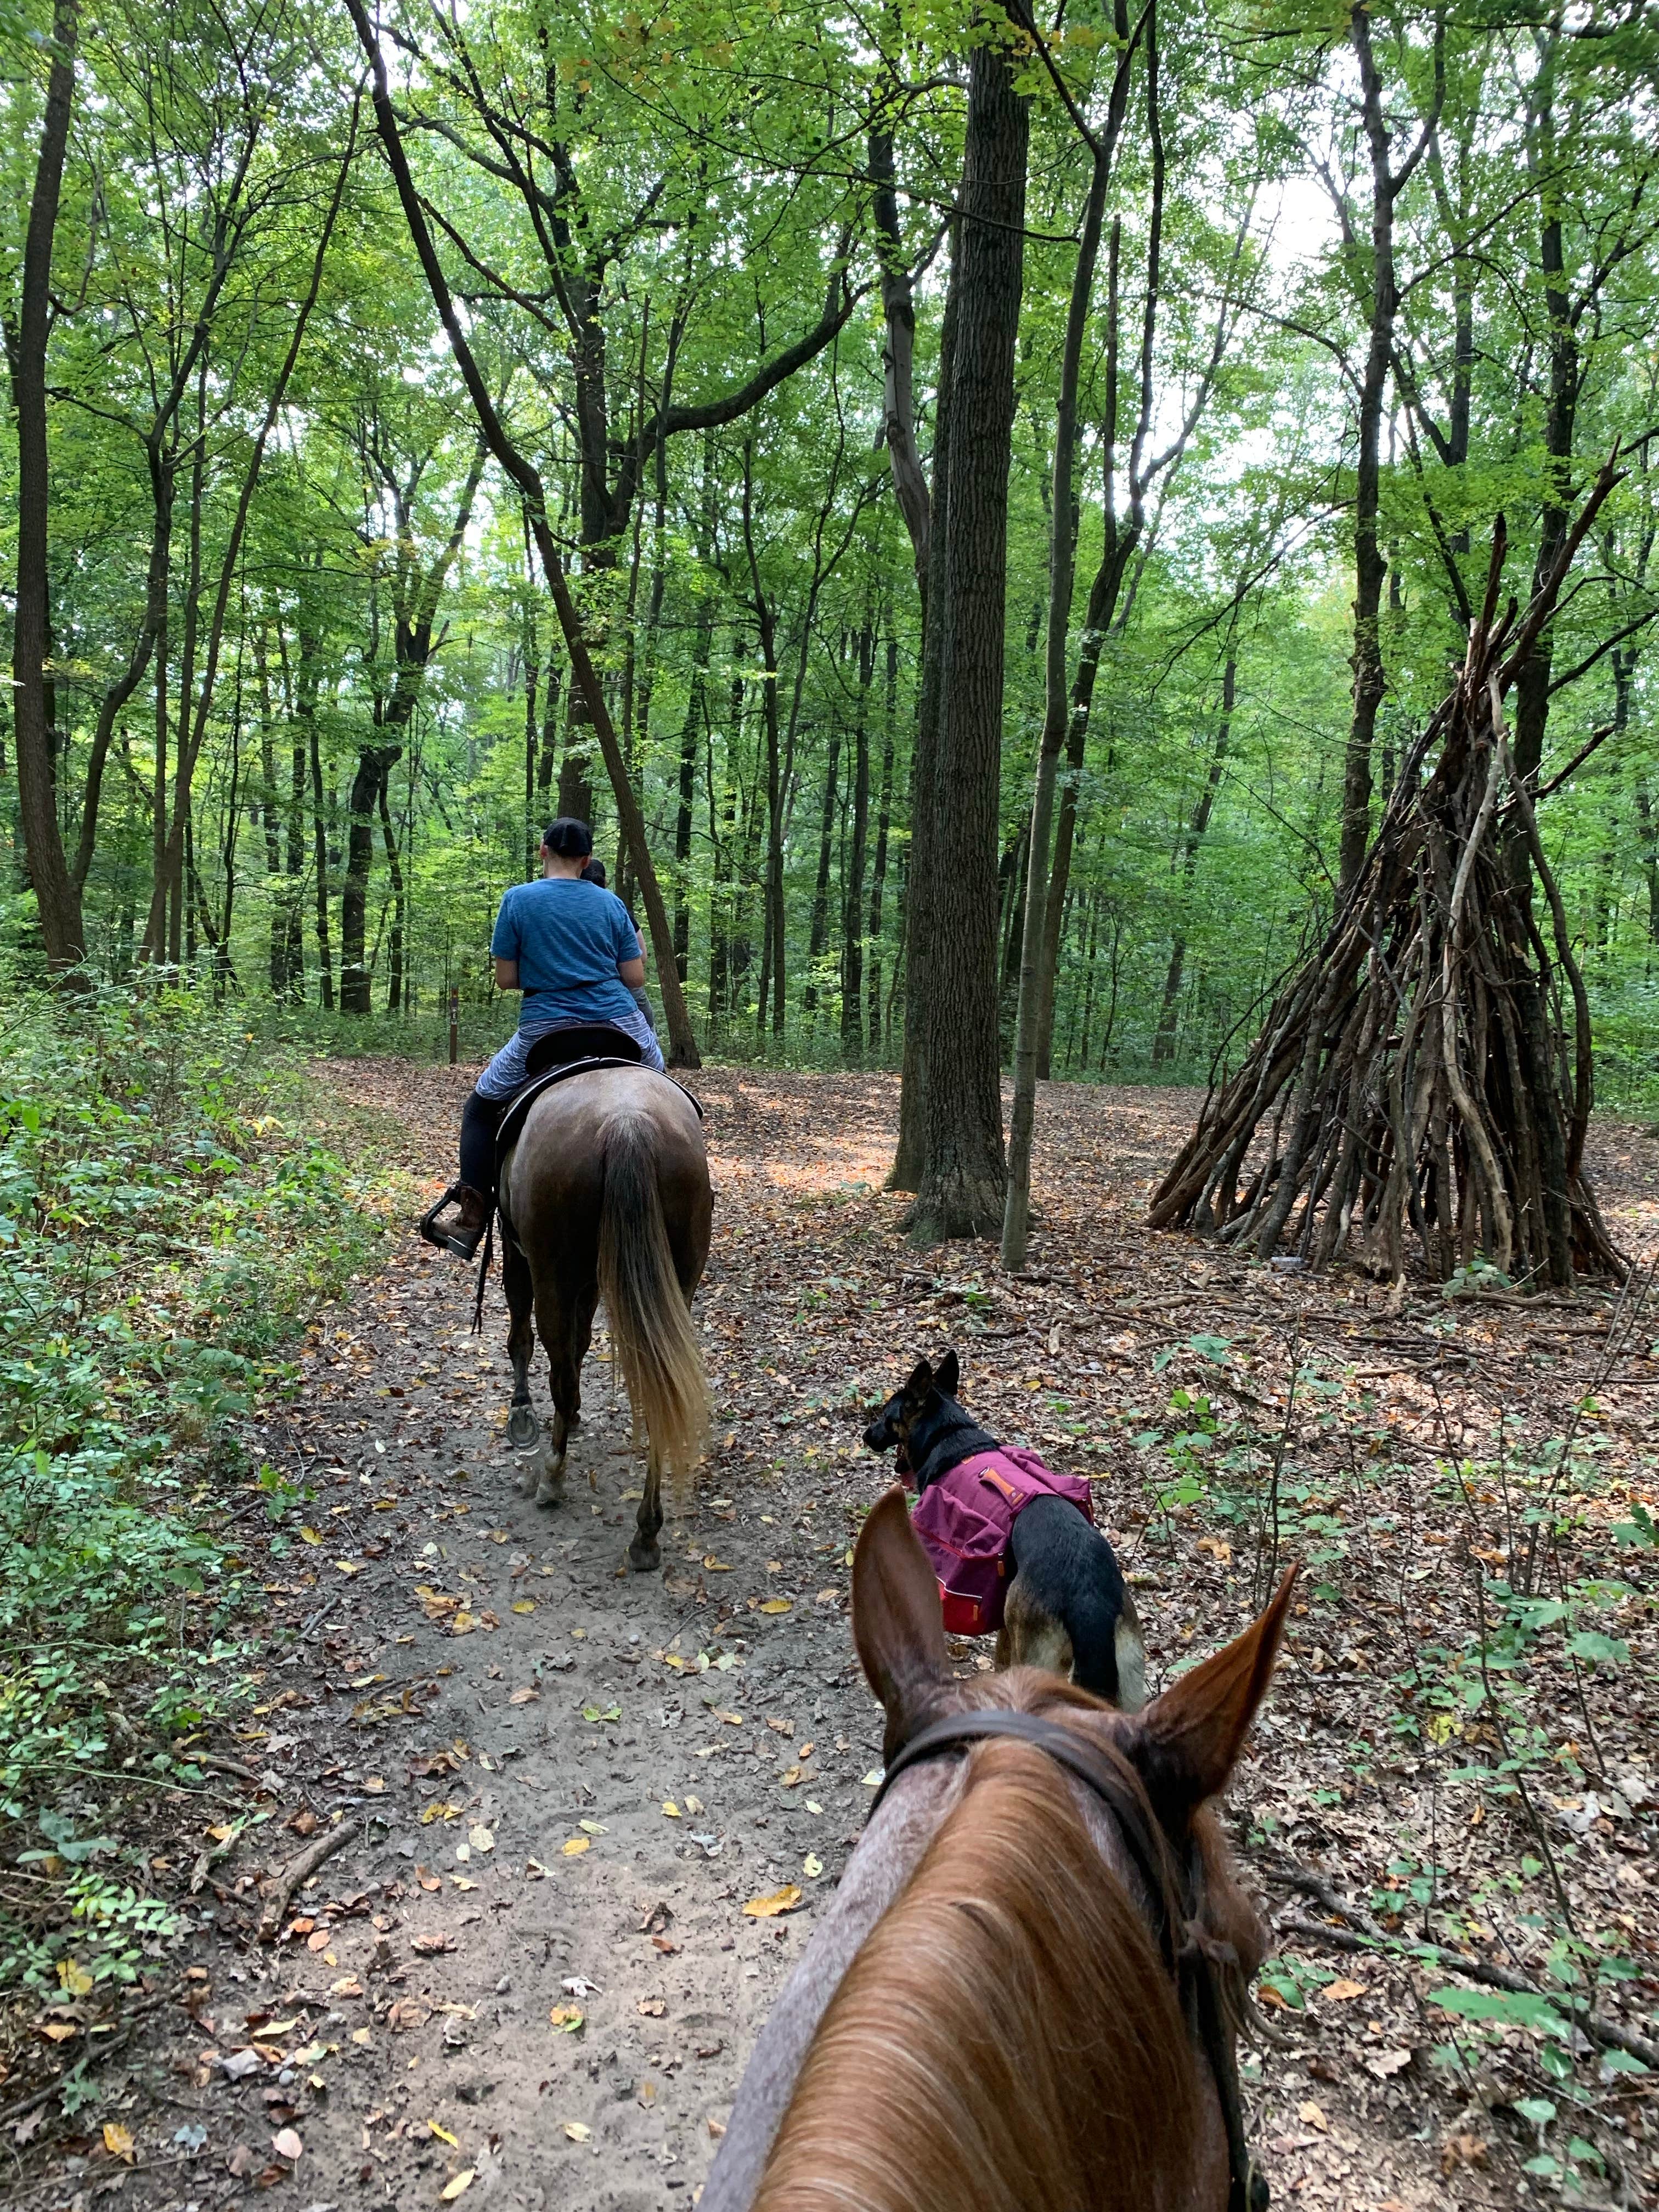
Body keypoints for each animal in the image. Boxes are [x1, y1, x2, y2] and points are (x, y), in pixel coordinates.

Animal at [496, 1064, 711, 1571]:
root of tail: (627, 1123)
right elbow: (580, 1345)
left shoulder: (519, 1257)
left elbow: (524, 1340)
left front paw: (523, 1415)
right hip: (674, 1286)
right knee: (659, 1389)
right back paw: (647, 1533)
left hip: (551, 1272)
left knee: (558, 1370)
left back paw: (552, 1478)